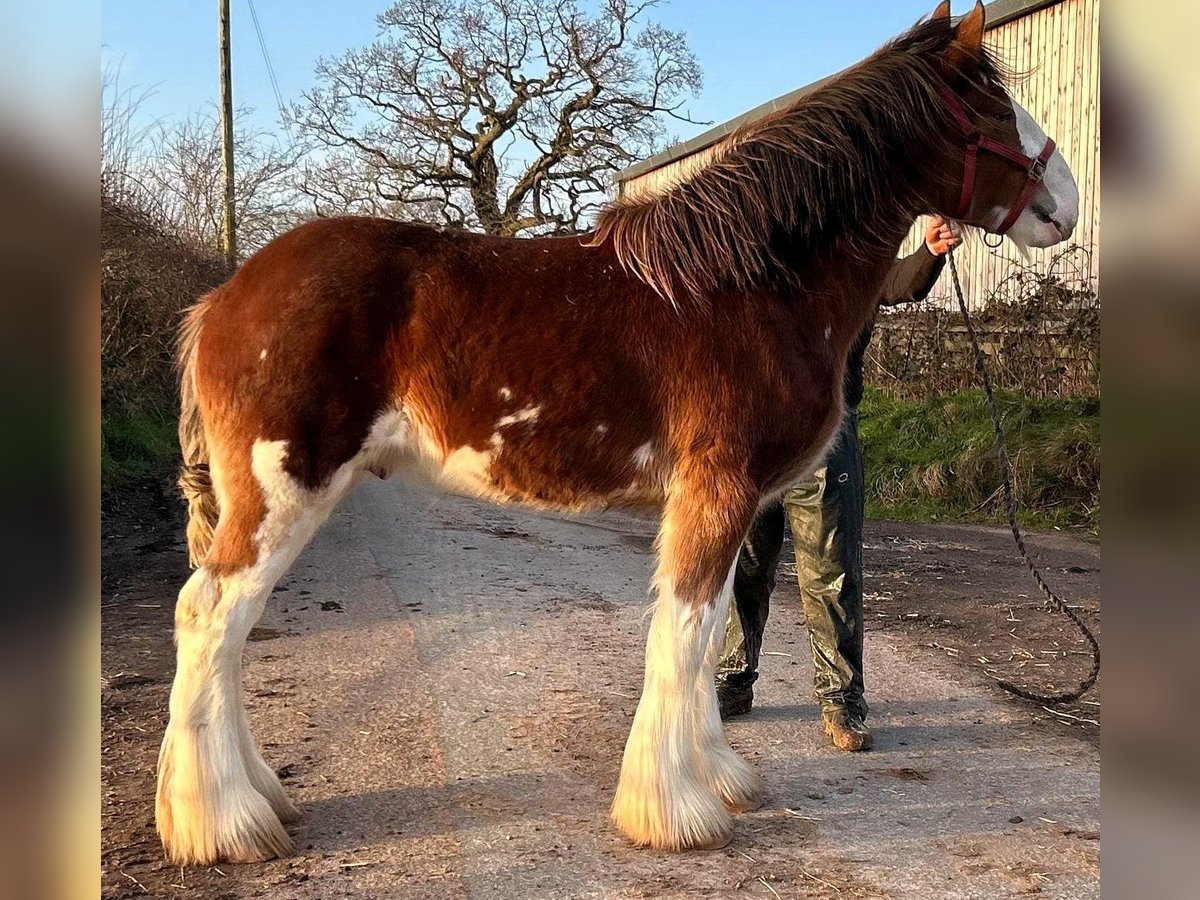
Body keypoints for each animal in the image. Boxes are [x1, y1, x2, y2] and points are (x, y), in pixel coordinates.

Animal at [154, 1, 1084, 868]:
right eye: (992, 109)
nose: (1067, 206)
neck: (750, 285)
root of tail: (224, 297)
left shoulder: (730, 502)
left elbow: (707, 633)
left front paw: (719, 777)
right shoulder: (718, 490)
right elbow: (683, 634)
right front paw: (675, 813)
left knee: (223, 630)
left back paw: (255, 798)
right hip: (283, 492)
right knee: (210, 618)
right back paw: (225, 823)